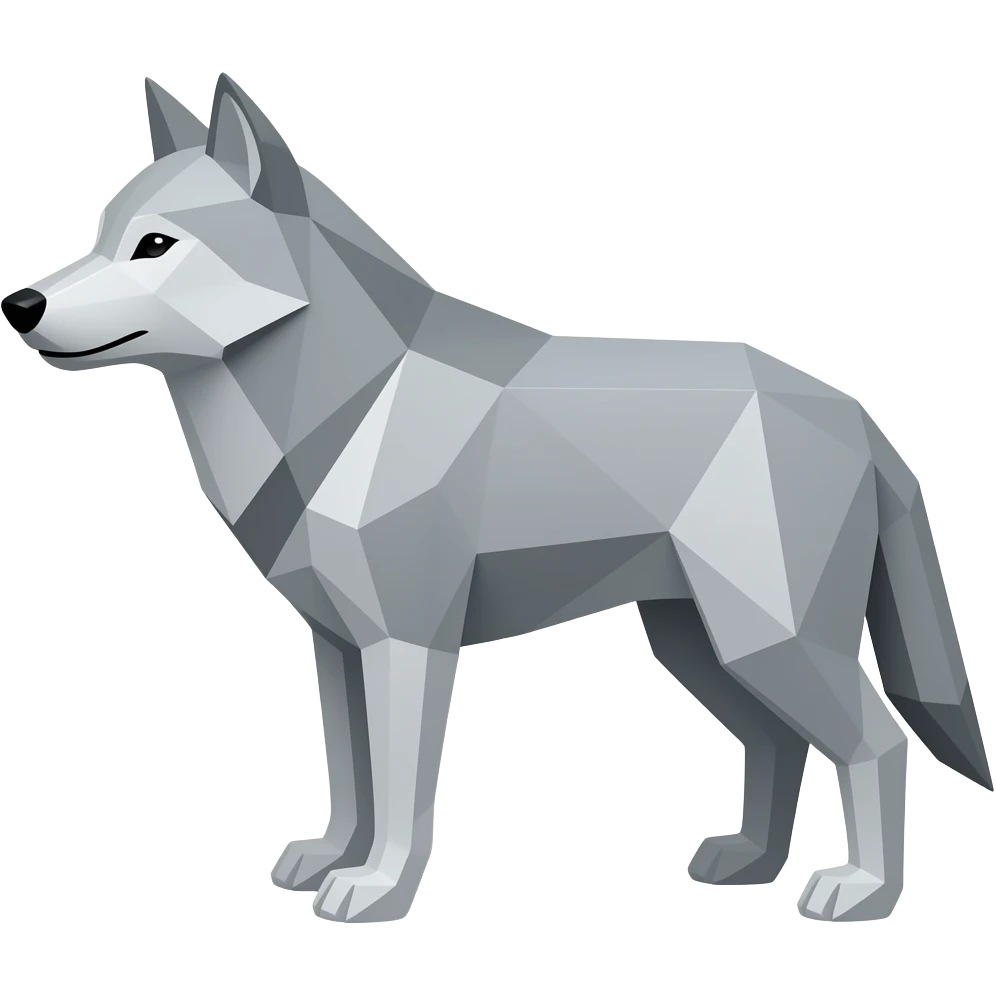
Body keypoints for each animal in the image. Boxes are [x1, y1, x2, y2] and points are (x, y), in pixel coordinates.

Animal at [3, 73, 990, 925]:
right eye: (99, 234)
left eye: (155, 246)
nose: (20, 304)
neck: (344, 408)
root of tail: (854, 412)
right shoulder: (337, 648)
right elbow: (352, 781)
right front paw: (330, 859)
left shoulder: (409, 644)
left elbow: (403, 795)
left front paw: (379, 891)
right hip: (699, 645)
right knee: (779, 744)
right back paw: (748, 862)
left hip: (768, 641)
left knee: (876, 740)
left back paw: (860, 893)